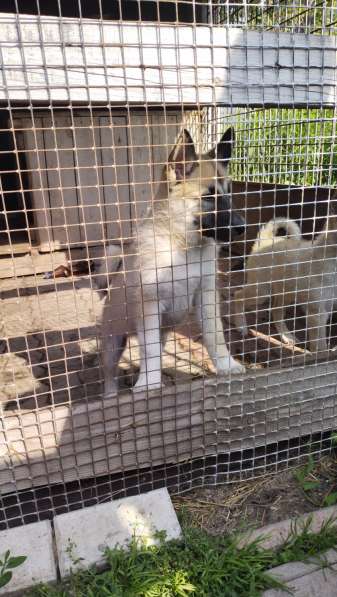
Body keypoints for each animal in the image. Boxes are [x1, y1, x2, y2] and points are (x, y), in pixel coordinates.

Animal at [99, 127, 244, 396]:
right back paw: (111, 395)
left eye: (228, 193)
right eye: (209, 197)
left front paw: (227, 365)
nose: (243, 227)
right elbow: (150, 351)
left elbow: (216, 335)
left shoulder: (206, 296)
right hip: (113, 342)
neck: (182, 246)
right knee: (110, 373)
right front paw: (149, 384)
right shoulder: (149, 305)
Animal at [232, 212, 337, 350]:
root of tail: (265, 239)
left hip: (286, 293)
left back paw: (287, 336)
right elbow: (319, 345)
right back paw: (241, 325)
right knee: (237, 296)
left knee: (276, 311)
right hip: (261, 292)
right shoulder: (316, 313)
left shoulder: (327, 309)